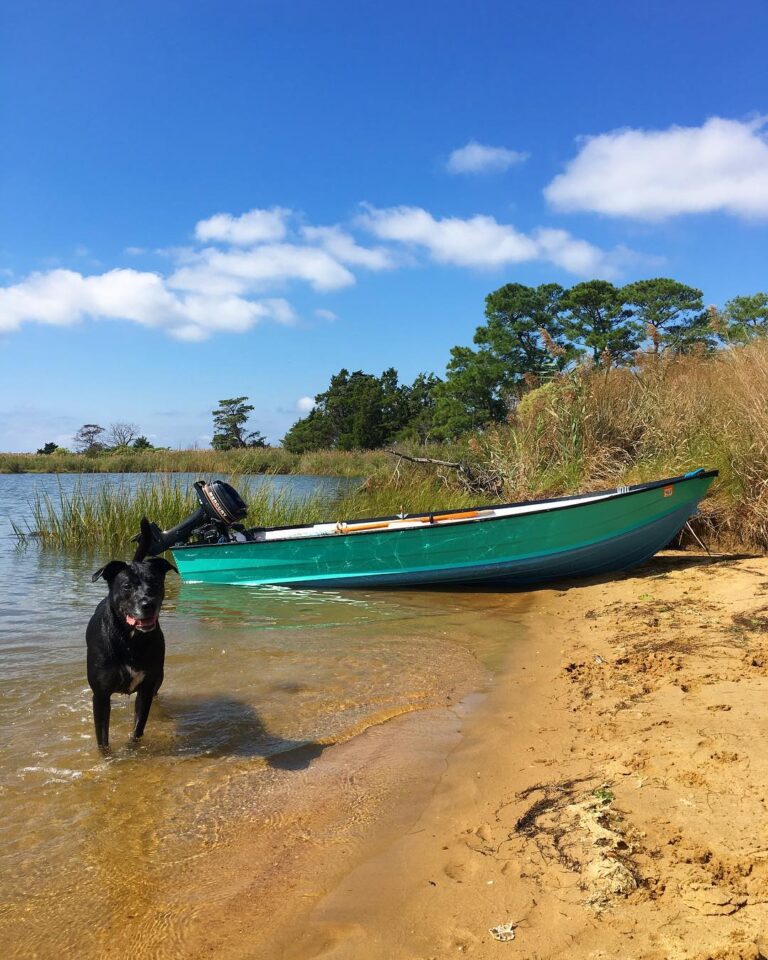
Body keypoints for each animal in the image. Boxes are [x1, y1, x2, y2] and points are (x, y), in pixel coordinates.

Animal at [86, 516, 176, 752]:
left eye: (156, 582)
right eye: (127, 585)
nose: (148, 604)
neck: (129, 639)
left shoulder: (146, 688)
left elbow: (138, 728)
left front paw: (131, 750)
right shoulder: (100, 695)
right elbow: (102, 739)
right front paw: (108, 757)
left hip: (158, 679)